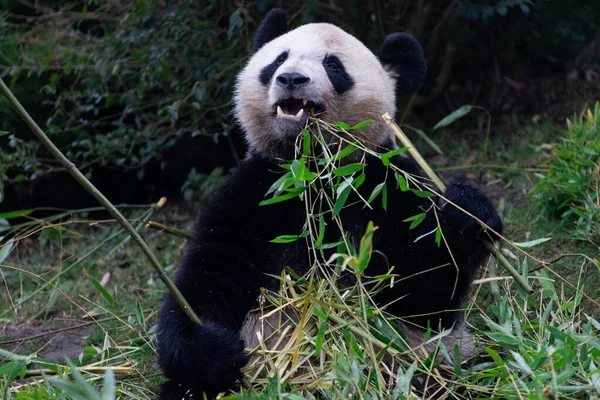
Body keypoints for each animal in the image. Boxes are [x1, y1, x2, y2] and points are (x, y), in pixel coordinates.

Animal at [155, 7, 502, 400]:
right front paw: (214, 348)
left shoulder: (385, 189)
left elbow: (425, 297)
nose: (291, 78)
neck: (315, 175)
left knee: (479, 371)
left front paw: (467, 211)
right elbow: (208, 278)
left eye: (334, 65)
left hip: (444, 369)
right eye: (278, 59)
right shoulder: (253, 196)